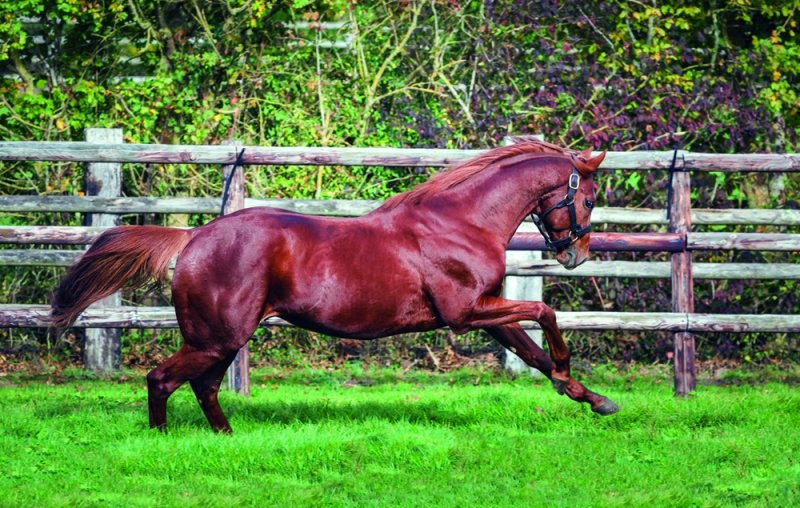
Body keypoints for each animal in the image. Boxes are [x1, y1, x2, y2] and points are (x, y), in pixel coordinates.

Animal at [50, 139, 618, 433]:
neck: (461, 221)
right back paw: (165, 440)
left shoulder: (485, 312)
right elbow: (544, 316)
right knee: (162, 379)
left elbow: (531, 352)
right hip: (217, 336)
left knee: (204, 386)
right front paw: (572, 375)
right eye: (589, 198)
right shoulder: (465, 312)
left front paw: (594, 399)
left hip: (222, 339)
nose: (576, 255)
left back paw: (227, 438)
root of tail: (193, 237)